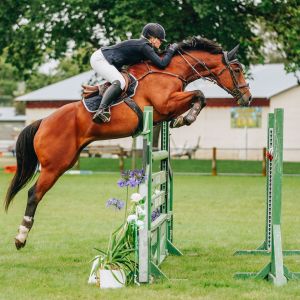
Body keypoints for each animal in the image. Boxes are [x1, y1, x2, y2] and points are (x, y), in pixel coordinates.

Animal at [5, 37, 253, 248]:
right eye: (237, 70)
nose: (248, 98)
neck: (169, 72)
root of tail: (43, 121)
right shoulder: (165, 104)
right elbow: (200, 94)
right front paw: (187, 118)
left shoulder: (165, 111)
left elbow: (197, 98)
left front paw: (181, 120)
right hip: (55, 165)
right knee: (34, 194)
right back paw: (20, 237)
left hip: (67, 161)